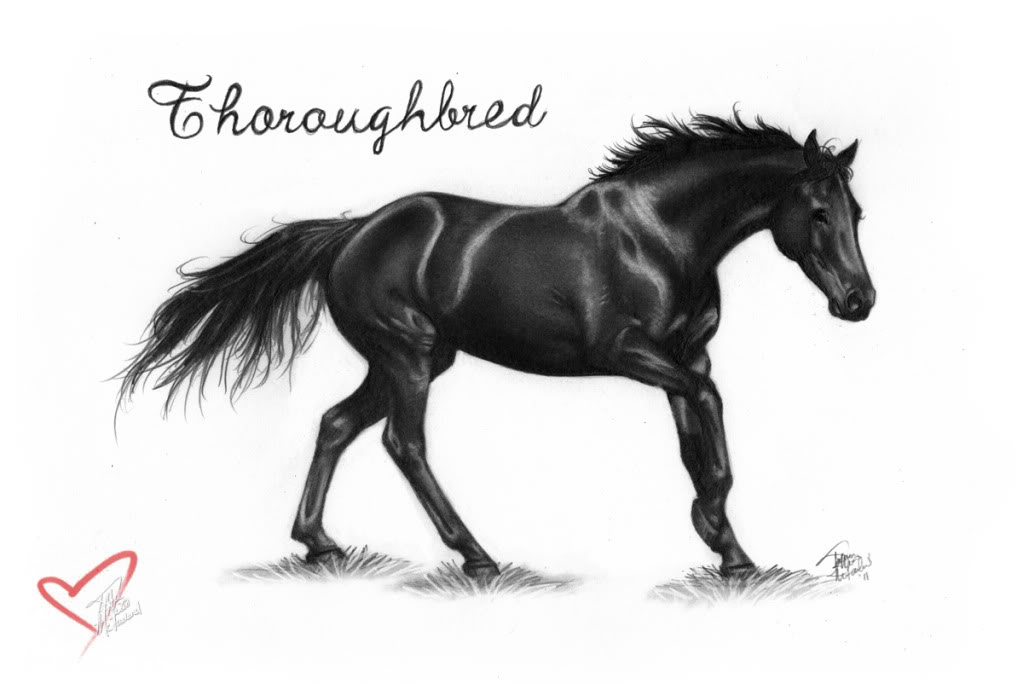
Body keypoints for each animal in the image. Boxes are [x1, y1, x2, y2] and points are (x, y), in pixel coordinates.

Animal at [118, 112, 873, 580]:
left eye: (857, 214)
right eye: (816, 214)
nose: (859, 302)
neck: (660, 234)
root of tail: (352, 232)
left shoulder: (687, 357)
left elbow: (697, 444)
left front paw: (730, 551)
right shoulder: (629, 355)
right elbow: (708, 416)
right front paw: (712, 525)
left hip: (411, 359)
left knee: (335, 423)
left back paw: (319, 543)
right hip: (408, 358)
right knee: (403, 443)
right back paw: (476, 555)